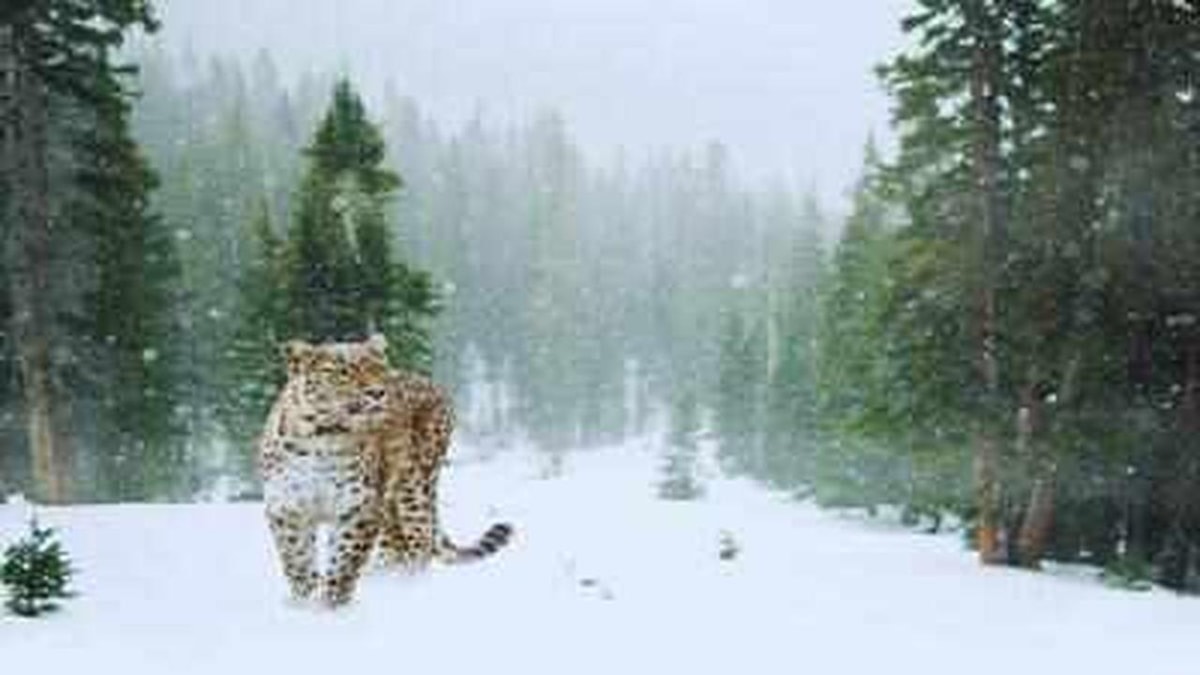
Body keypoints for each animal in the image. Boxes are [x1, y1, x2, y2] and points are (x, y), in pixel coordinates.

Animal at [259, 334, 512, 607]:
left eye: (379, 368)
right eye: (342, 372)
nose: (377, 392)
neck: (323, 439)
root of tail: (428, 381)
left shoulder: (358, 507)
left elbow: (344, 562)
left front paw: (332, 604)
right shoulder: (287, 507)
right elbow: (297, 560)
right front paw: (303, 601)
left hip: (413, 490)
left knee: (420, 544)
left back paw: (409, 588)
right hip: (390, 506)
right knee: (395, 546)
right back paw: (383, 576)